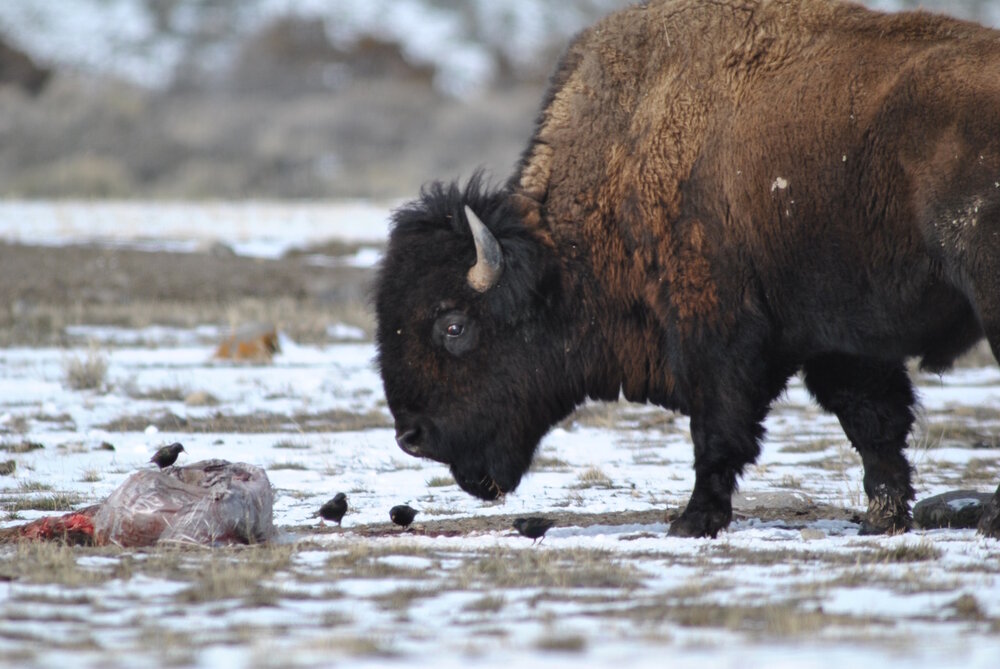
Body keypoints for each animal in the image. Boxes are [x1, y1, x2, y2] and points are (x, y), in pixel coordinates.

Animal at [374, 0, 1000, 539]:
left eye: (454, 326)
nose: (412, 437)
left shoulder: (713, 328)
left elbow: (718, 429)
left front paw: (693, 520)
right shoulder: (840, 340)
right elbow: (874, 423)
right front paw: (882, 518)